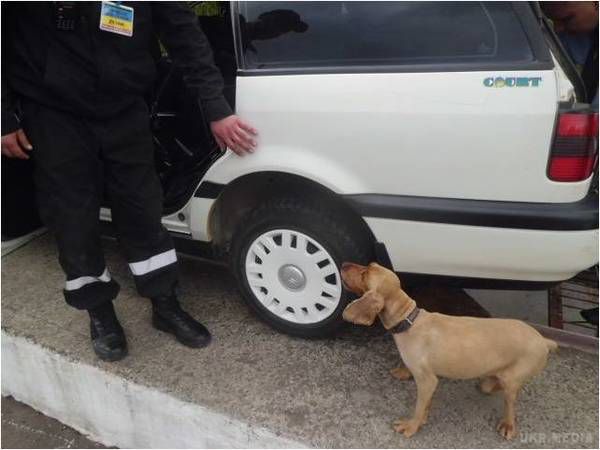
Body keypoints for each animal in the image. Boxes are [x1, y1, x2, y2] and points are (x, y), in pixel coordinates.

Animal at [342, 262, 556, 442]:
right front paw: (423, 418)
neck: (409, 320)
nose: (343, 264)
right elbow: (426, 405)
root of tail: (543, 340)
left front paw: (411, 426)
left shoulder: (427, 381)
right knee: (493, 384)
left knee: (510, 401)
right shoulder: (428, 384)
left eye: (365, 274)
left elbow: (418, 407)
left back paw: (508, 425)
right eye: (368, 265)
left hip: (512, 380)